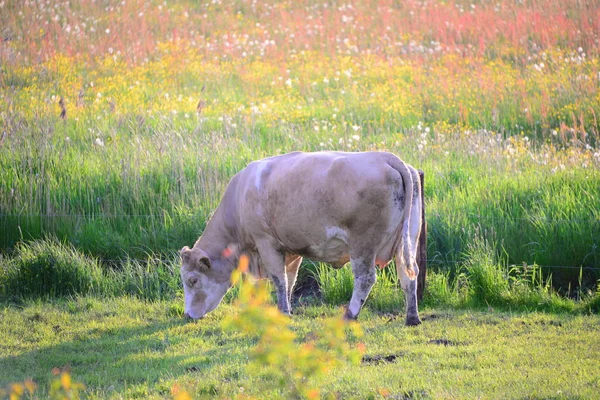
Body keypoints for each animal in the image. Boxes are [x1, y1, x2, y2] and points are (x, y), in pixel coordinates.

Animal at [180, 150, 424, 324]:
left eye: (192, 280)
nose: (187, 314)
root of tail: (385, 156)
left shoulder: (266, 242)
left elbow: (279, 279)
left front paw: (283, 311)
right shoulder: (291, 249)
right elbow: (290, 280)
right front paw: (286, 308)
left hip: (362, 245)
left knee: (365, 278)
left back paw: (350, 315)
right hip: (408, 239)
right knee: (408, 275)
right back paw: (412, 317)